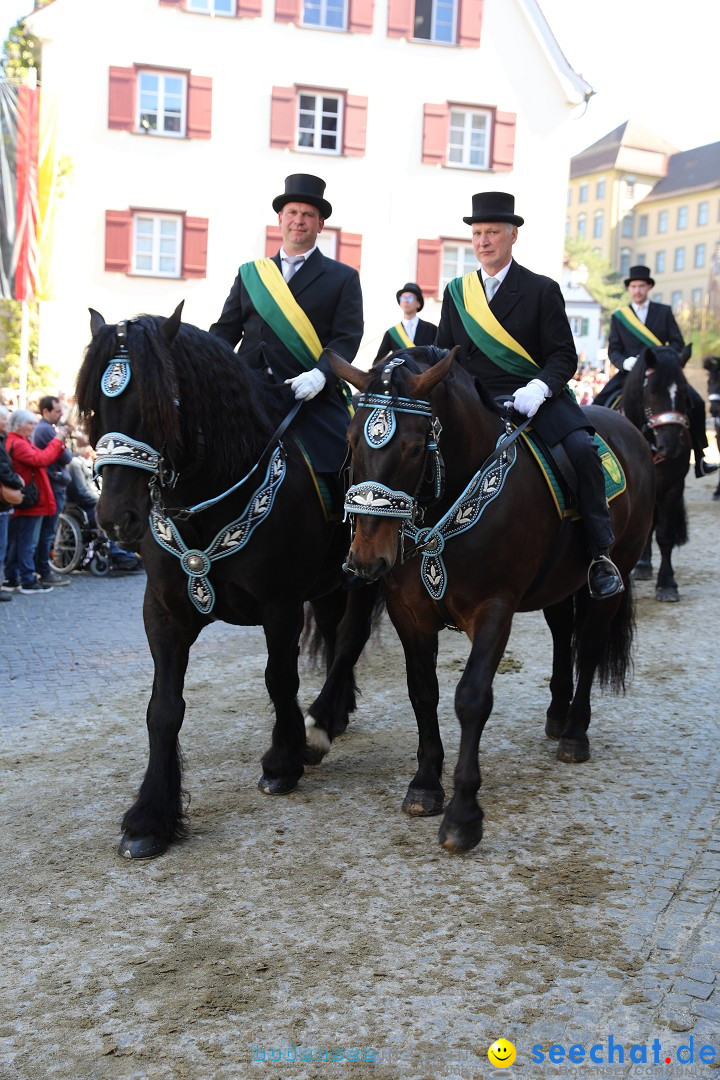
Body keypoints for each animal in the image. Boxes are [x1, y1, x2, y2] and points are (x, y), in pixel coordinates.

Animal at [76, 304, 379, 859]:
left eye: (161, 406)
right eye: (94, 409)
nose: (114, 518)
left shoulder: (280, 605)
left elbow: (279, 679)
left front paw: (283, 761)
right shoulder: (163, 611)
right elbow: (163, 708)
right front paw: (151, 816)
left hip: (366, 571)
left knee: (349, 639)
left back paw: (319, 724)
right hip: (330, 583)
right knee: (333, 633)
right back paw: (334, 714)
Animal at [325, 349, 660, 855]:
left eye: (414, 448)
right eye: (349, 440)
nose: (365, 560)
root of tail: (624, 425)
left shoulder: (493, 612)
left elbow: (471, 698)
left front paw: (463, 816)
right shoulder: (411, 615)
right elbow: (422, 693)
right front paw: (425, 784)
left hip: (611, 573)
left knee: (590, 645)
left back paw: (574, 733)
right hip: (557, 582)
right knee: (562, 633)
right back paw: (558, 714)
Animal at [626, 345, 690, 600]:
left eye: (683, 391)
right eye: (652, 391)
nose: (671, 446)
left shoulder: (674, 485)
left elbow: (664, 534)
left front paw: (667, 583)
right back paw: (642, 565)